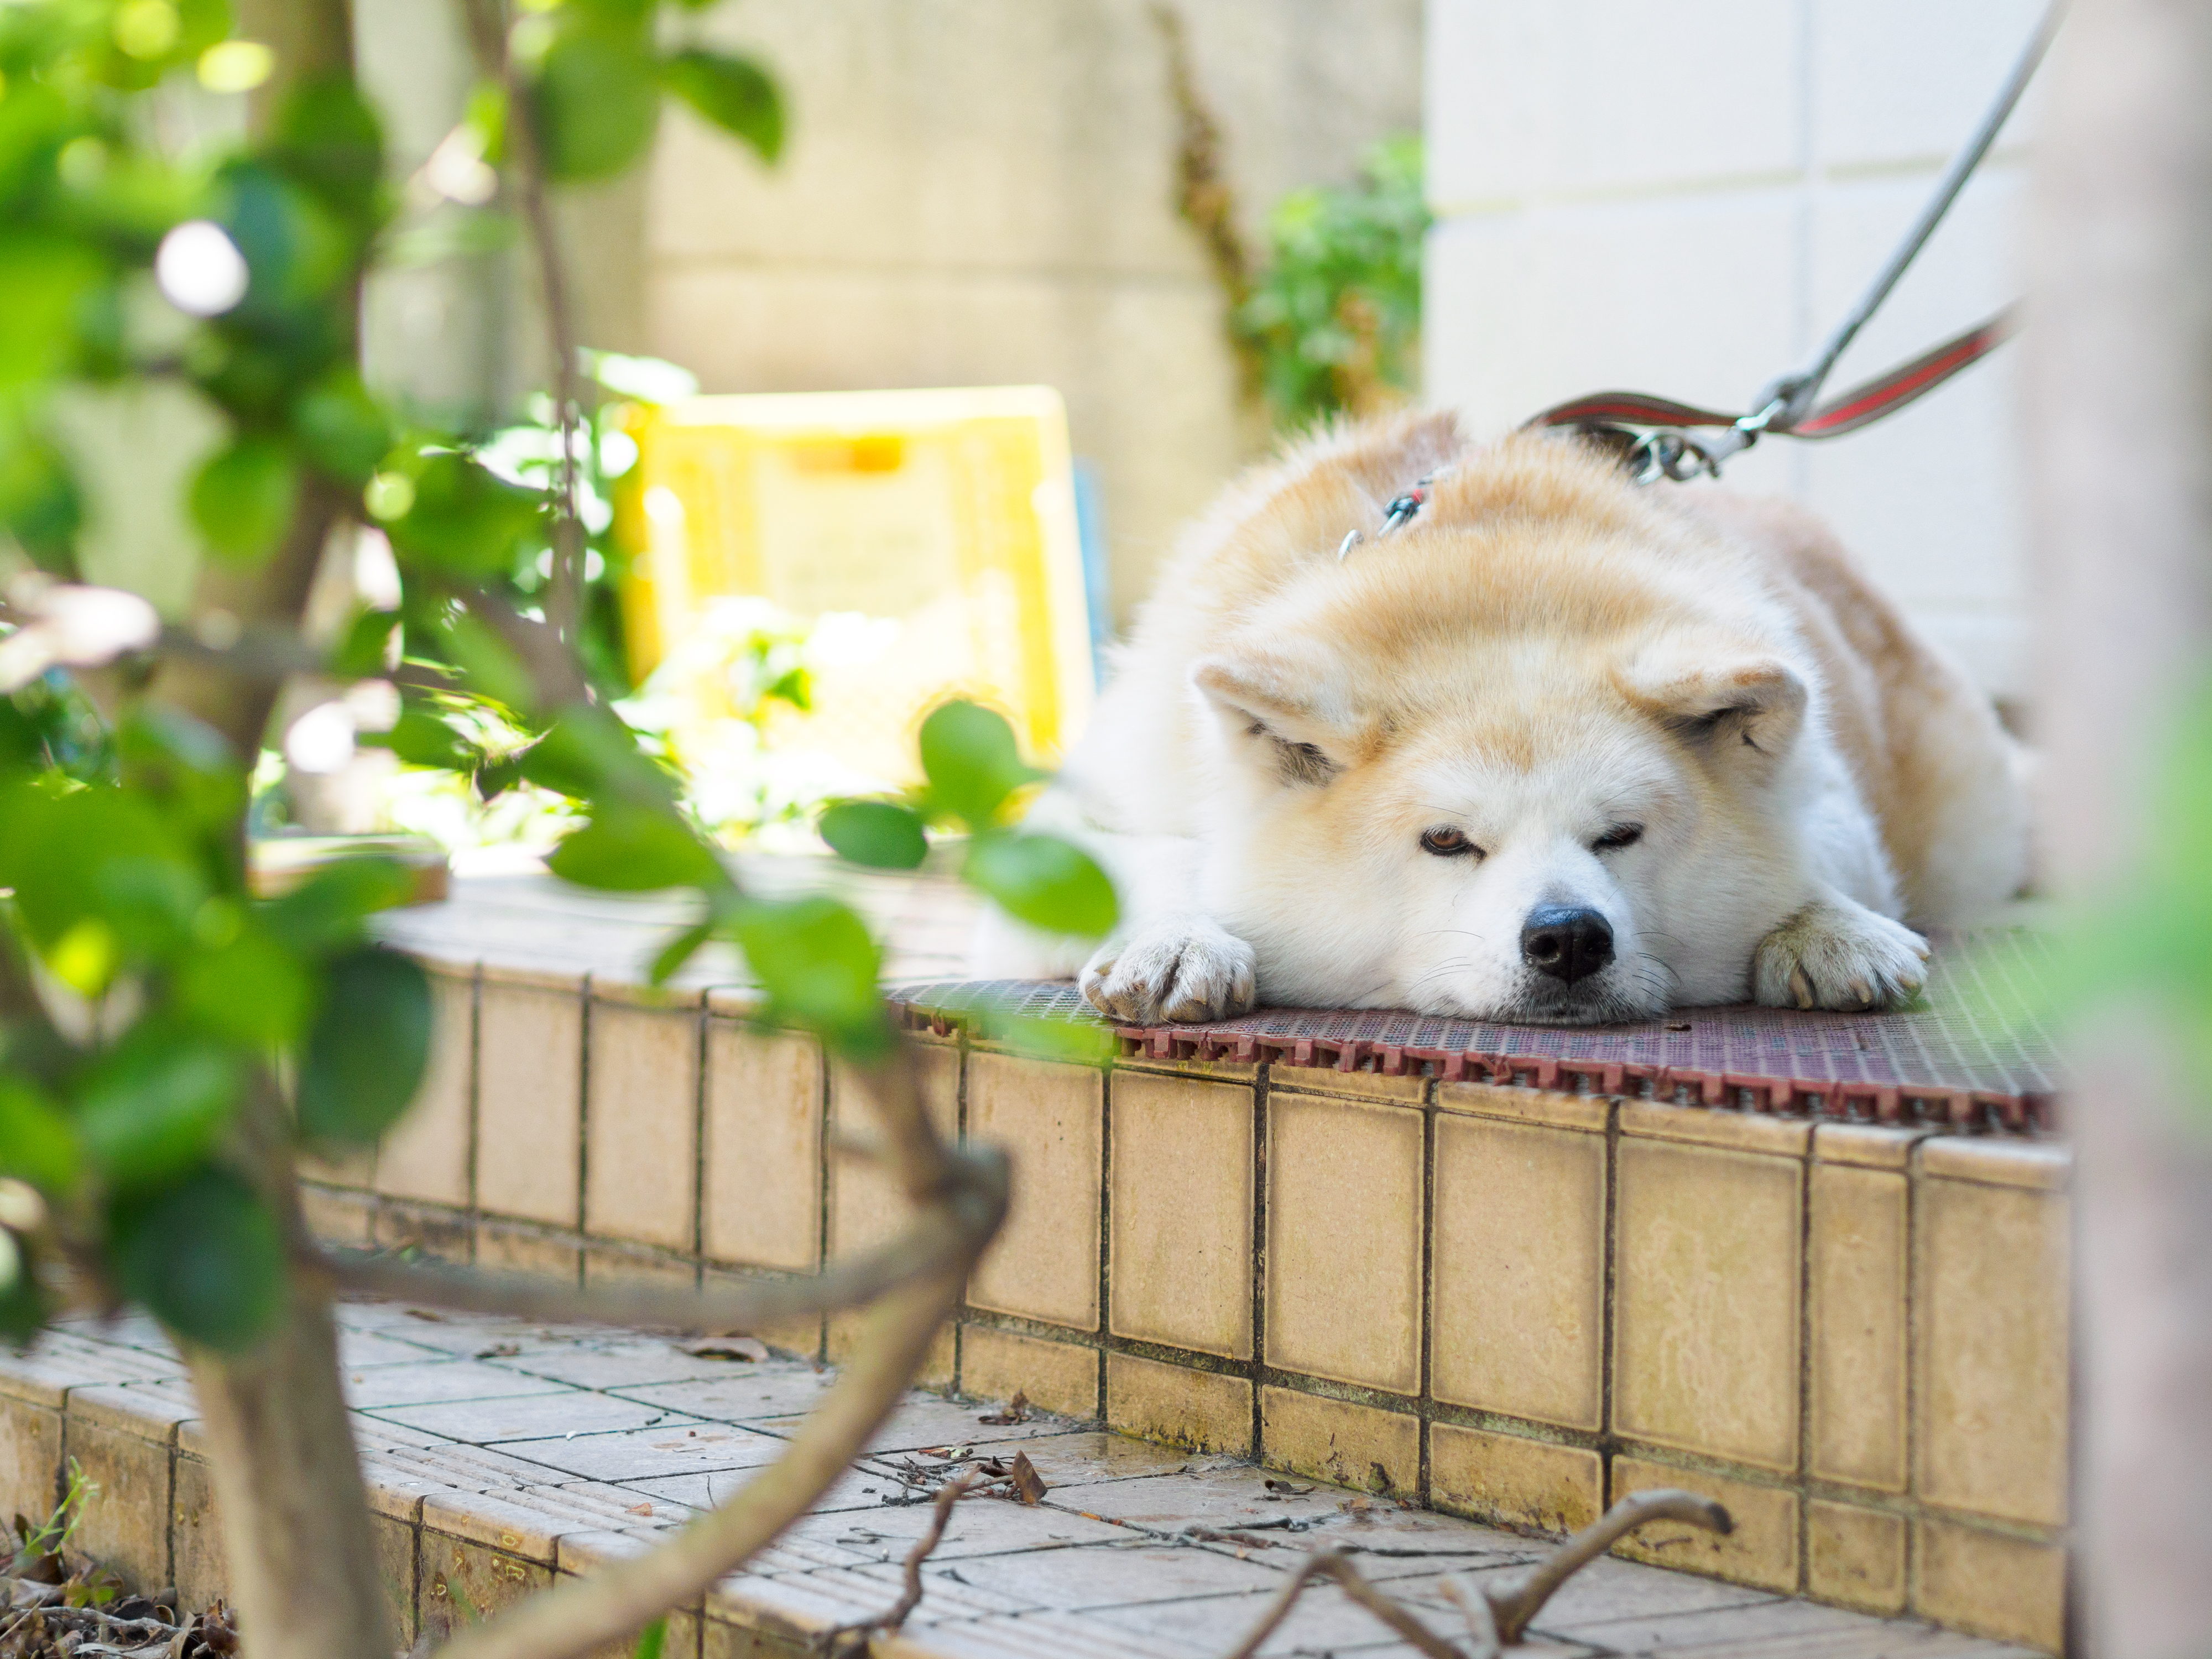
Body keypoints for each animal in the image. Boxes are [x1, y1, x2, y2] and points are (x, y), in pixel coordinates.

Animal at [978, 416, 2026, 1026]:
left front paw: (1828, 928)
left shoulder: (1827, 791)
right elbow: (1161, 859)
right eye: (1446, 841)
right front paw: (1177, 939)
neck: (1495, 591)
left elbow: (1823, 852)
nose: (1569, 938)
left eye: (1621, 835)